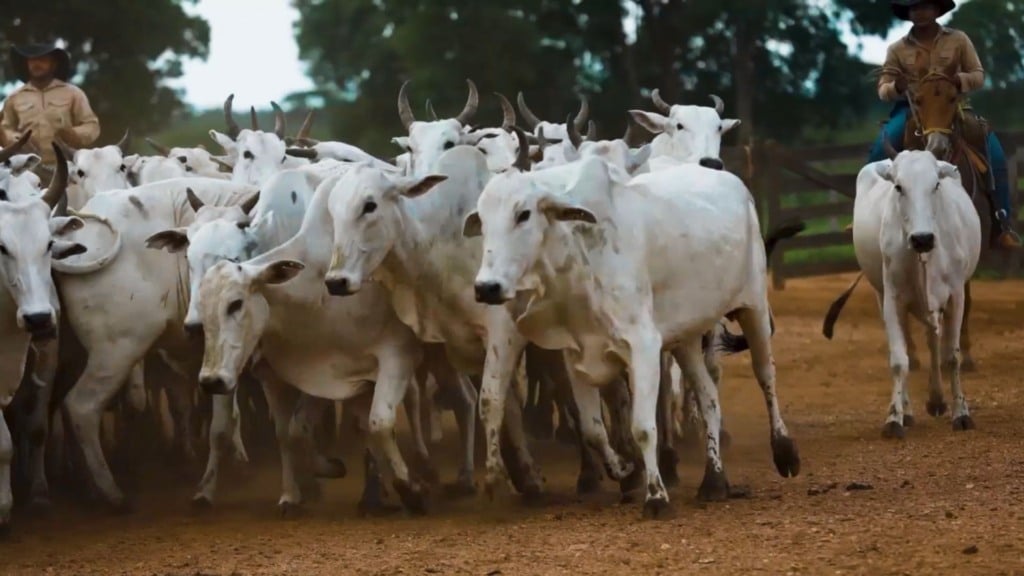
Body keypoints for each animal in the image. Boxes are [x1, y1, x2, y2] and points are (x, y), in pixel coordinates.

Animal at [463, 128, 800, 516]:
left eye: (524, 214)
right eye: (482, 220)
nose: (487, 287)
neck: (579, 255)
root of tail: (733, 181)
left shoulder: (643, 345)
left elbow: (642, 426)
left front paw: (656, 496)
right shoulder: (576, 353)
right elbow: (593, 429)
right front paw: (625, 470)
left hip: (753, 306)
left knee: (765, 374)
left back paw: (784, 451)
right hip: (685, 337)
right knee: (709, 397)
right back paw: (714, 480)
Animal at [846, 148, 980, 438]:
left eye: (936, 185)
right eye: (898, 187)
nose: (922, 238)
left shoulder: (956, 296)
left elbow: (952, 357)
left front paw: (961, 413)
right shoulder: (892, 299)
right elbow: (899, 360)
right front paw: (894, 418)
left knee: (934, 340)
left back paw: (937, 399)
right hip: (883, 294)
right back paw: (911, 409)